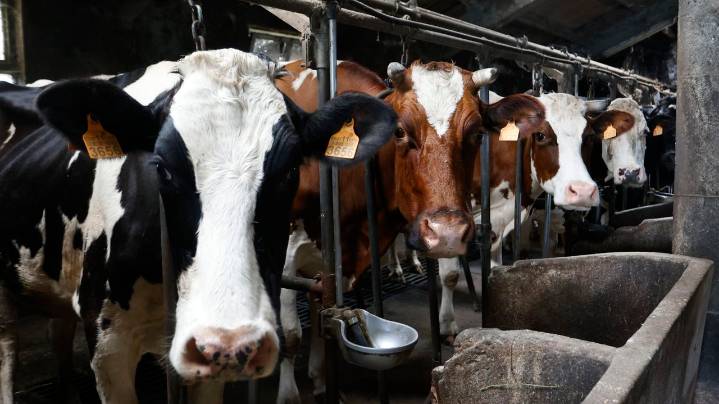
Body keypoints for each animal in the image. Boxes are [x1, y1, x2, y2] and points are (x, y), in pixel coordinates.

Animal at [274, 60, 547, 403]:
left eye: (476, 134)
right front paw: (288, 394)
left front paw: (323, 379)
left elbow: (322, 307)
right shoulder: (286, 252)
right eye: (399, 131)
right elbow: (291, 335)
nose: (447, 233)